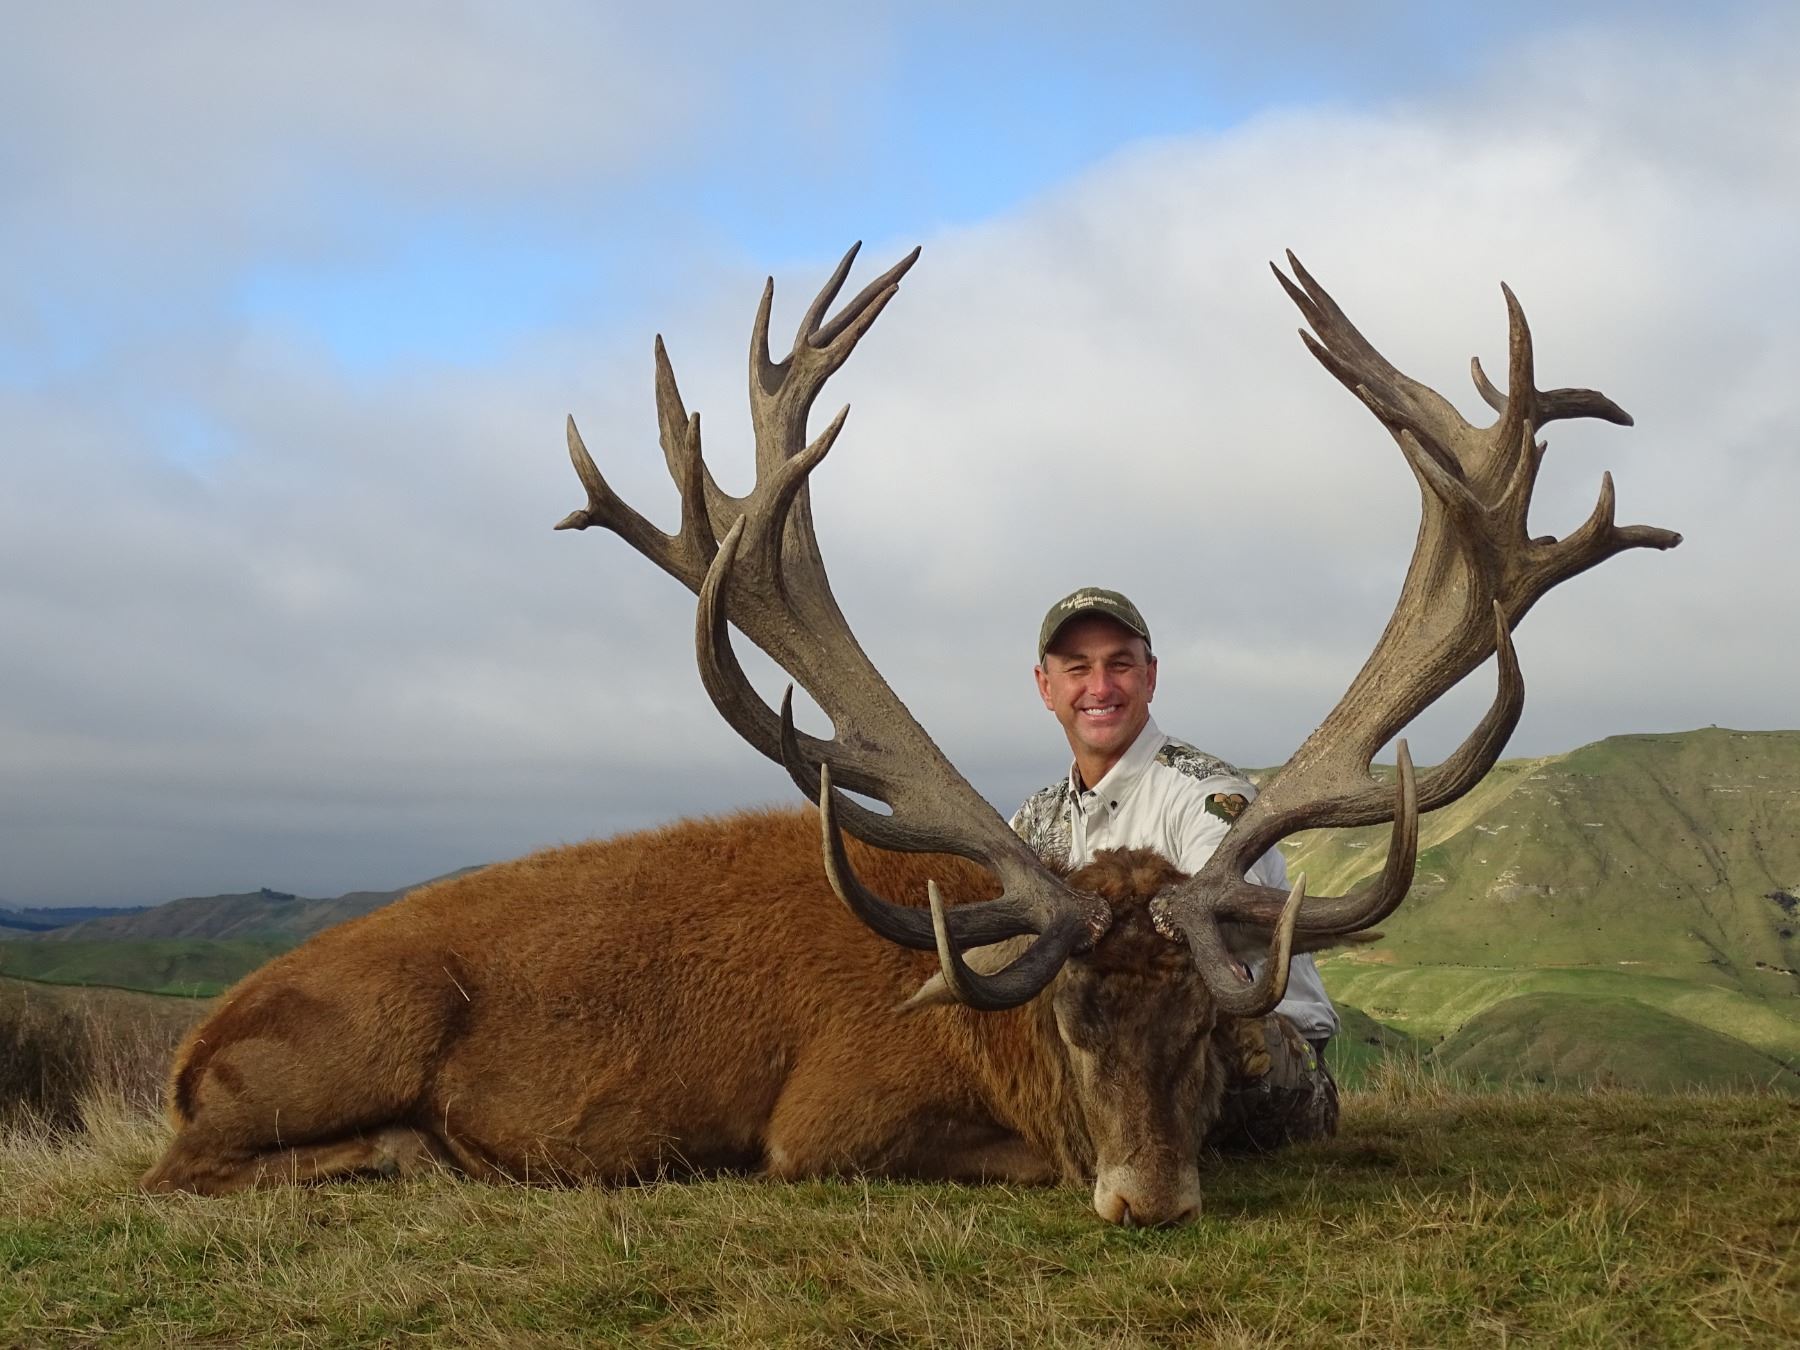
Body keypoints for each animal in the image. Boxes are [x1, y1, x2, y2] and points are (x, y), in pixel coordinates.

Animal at [141, 245, 1678, 1225]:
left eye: (1201, 1026)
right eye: (1071, 1016)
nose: (1149, 1200)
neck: (983, 1033)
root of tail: (188, 1046)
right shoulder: (819, 1127)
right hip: (355, 1035)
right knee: (180, 1173)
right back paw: (407, 1159)